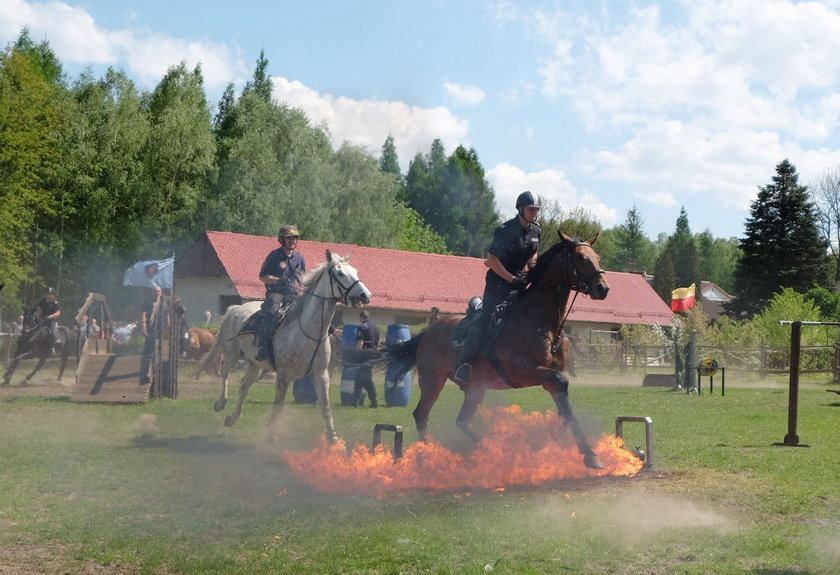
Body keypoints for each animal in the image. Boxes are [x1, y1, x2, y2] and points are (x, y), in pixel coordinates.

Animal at [203, 250, 370, 444]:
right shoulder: (284, 376)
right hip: (232, 354)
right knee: (225, 374)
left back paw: (231, 418)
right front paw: (272, 435)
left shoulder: (321, 375)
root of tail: (235, 308)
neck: (308, 330)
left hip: (255, 364)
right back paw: (220, 403)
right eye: (340, 273)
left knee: (244, 387)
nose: (366, 295)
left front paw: (333, 439)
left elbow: (326, 407)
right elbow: (278, 406)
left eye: (355, 271)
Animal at [388, 232, 612, 470]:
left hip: (475, 388)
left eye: (597, 257)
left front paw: (554, 439)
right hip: (432, 380)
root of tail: (429, 330)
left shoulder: (548, 378)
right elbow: (564, 390)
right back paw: (427, 455)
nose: (603, 288)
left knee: (462, 421)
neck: (541, 324)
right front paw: (589, 454)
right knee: (421, 414)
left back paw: (489, 450)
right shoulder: (526, 372)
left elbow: (566, 408)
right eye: (580, 257)